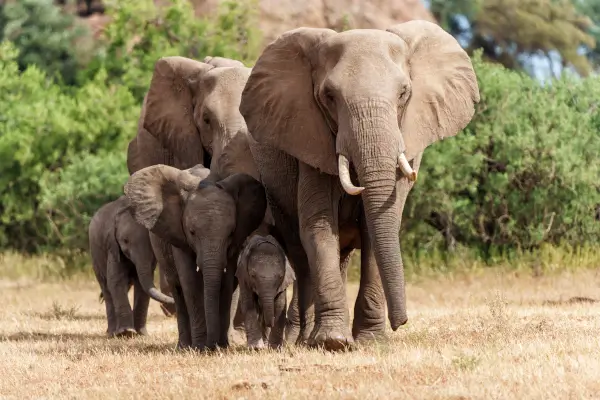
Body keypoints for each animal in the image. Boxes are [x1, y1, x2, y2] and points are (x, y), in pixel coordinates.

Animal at [88, 197, 175, 338]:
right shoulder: (113, 246)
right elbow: (116, 281)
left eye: (150, 243)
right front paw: (126, 332)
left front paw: (142, 334)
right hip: (95, 254)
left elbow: (142, 285)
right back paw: (111, 333)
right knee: (106, 288)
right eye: (125, 241)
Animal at [125, 164, 266, 348]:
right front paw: (200, 348)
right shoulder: (179, 234)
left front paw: (221, 347)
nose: (212, 346)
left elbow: (227, 282)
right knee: (177, 288)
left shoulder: (236, 242)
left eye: (231, 233)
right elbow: (190, 281)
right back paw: (184, 346)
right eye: (192, 232)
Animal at [241, 21, 480, 350]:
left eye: (404, 93)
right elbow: (318, 225)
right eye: (329, 96)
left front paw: (370, 341)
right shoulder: (310, 139)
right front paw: (333, 342)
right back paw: (301, 340)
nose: (401, 322)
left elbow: (376, 228)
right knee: (301, 256)